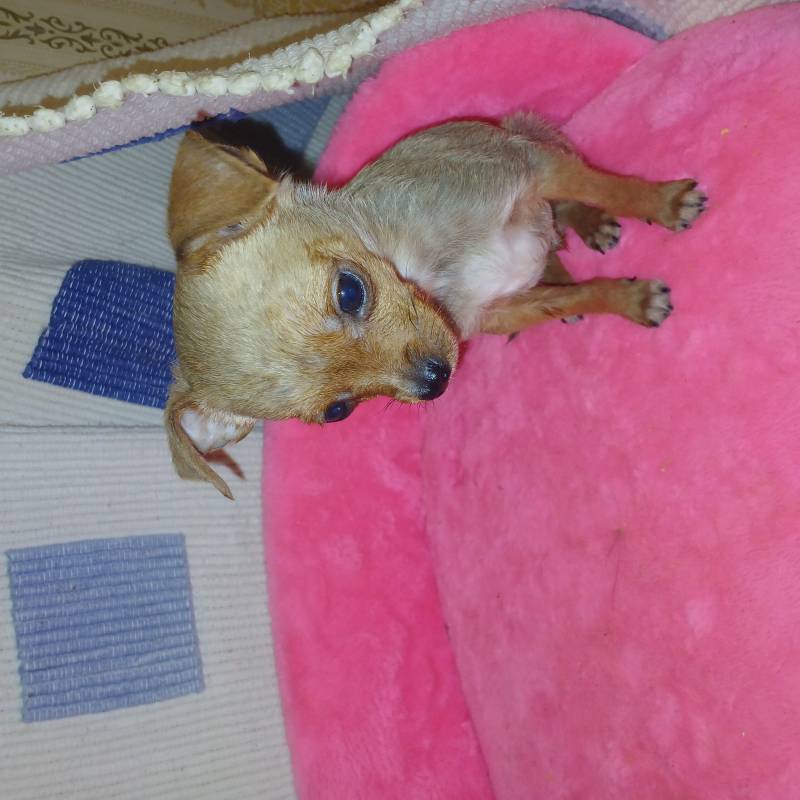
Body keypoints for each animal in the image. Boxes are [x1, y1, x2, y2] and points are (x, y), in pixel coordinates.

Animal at [165, 113, 706, 498]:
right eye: (338, 411)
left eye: (349, 291)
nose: (435, 381)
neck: (429, 272)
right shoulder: (499, 312)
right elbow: (570, 297)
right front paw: (627, 298)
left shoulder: (532, 169)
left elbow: (607, 187)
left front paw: (662, 204)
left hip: (526, 133)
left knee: (573, 185)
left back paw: (592, 222)